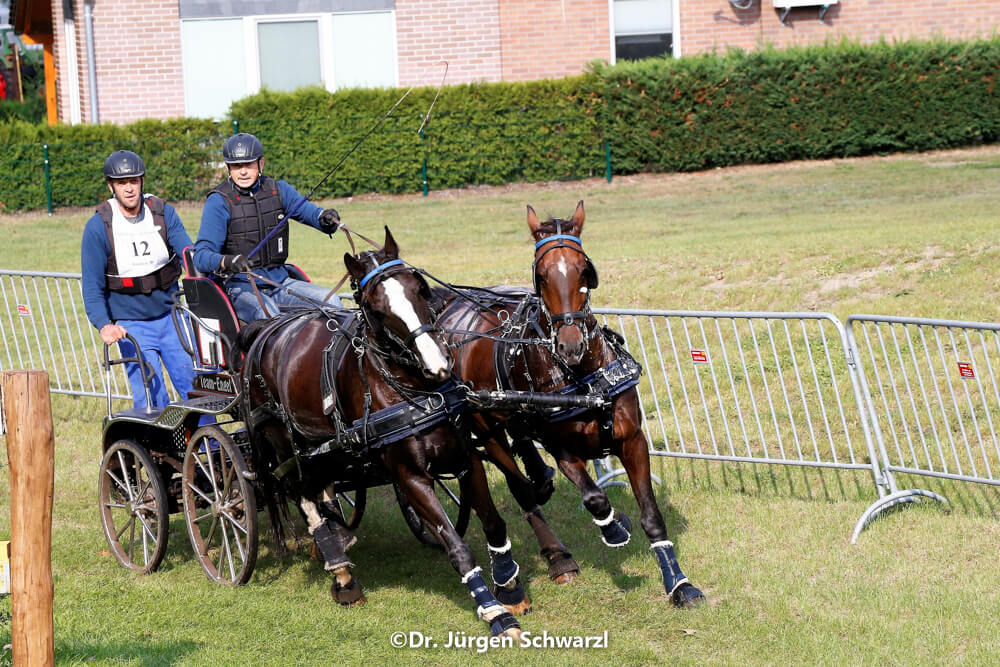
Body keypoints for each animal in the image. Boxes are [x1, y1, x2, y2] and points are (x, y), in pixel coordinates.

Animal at [238, 227, 528, 636]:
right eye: (376, 308)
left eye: (420, 288)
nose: (438, 364)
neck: (417, 390)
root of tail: (267, 328)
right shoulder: (410, 477)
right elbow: (457, 546)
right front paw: (493, 611)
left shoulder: (466, 457)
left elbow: (493, 522)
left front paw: (510, 587)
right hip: (285, 444)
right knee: (304, 496)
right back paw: (341, 573)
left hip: (324, 447)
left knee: (323, 490)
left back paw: (338, 541)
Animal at [435, 202, 705, 607]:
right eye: (542, 276)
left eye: (583, 269)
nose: (570, 344)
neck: (584, 379)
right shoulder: (562, 449)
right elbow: (595, 498)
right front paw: (614, 528)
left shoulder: (632, 440)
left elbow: (651, 516)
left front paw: (678, 582)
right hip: (486, 428)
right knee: (519, 489)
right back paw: (551, 559)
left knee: (526, 455)